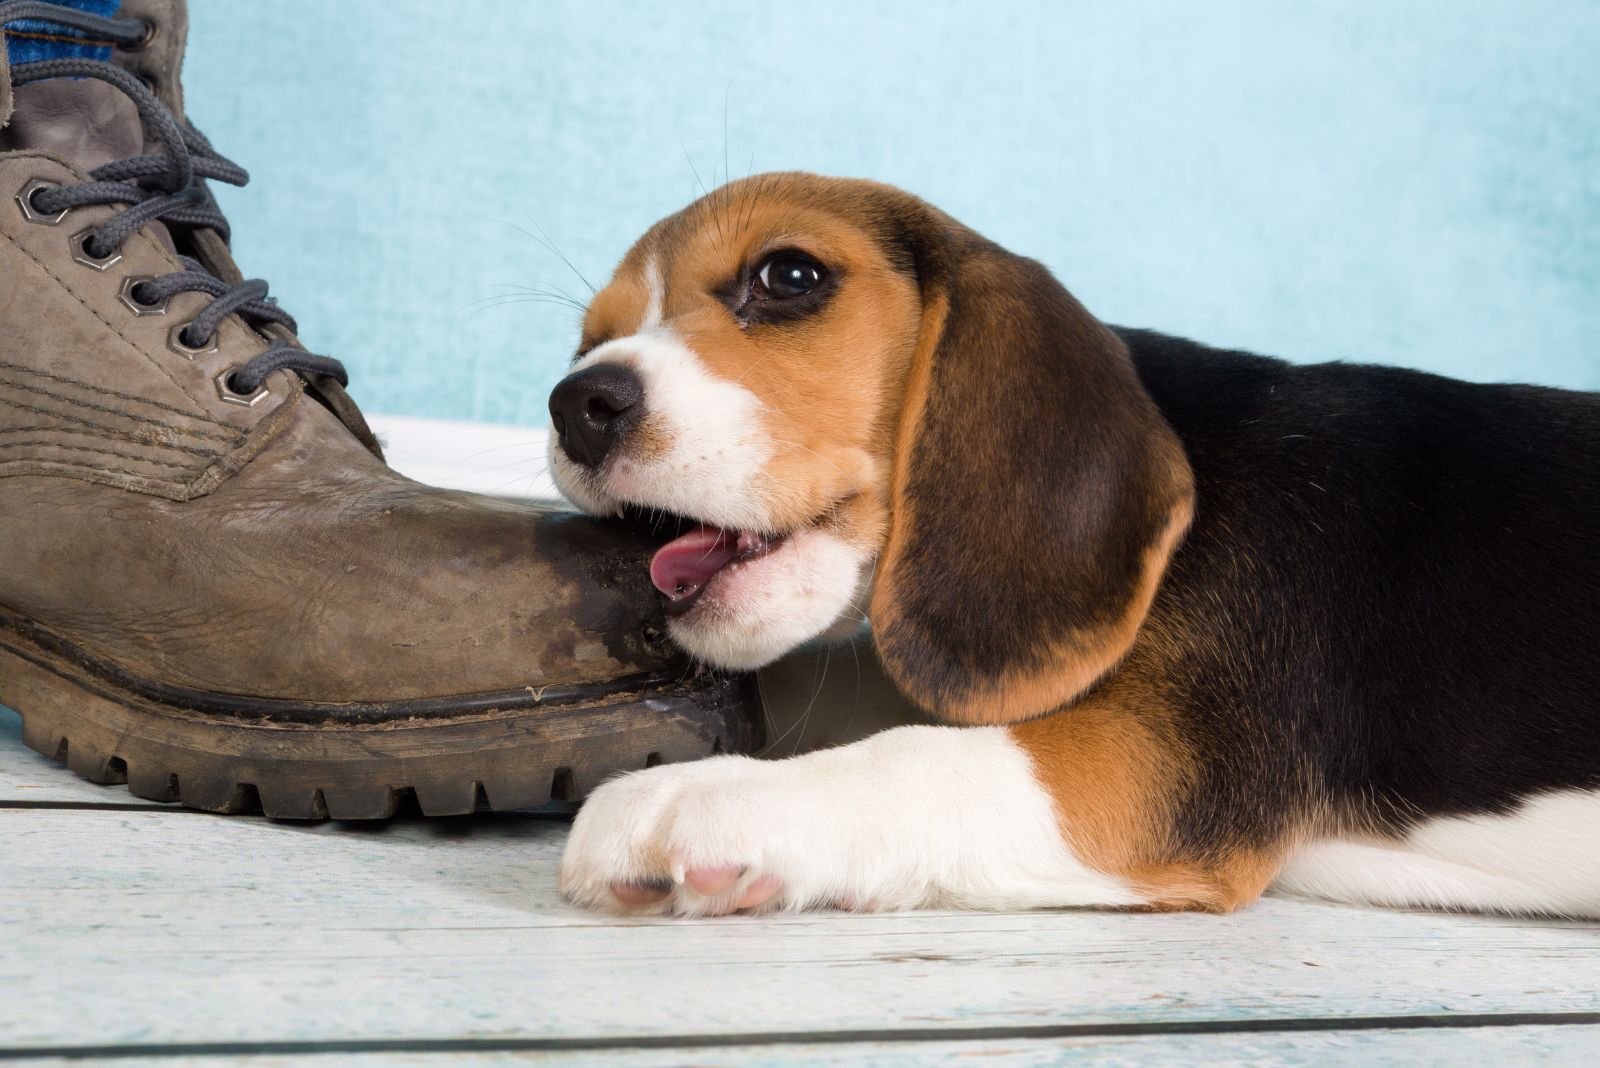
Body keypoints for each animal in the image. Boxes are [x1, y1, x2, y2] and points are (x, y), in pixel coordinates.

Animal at [547, 175, 1600, 920]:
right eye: (588, 343)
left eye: (789, 276)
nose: (577, 405)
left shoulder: (1154, 765)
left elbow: (914, 756)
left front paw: (707, 797)